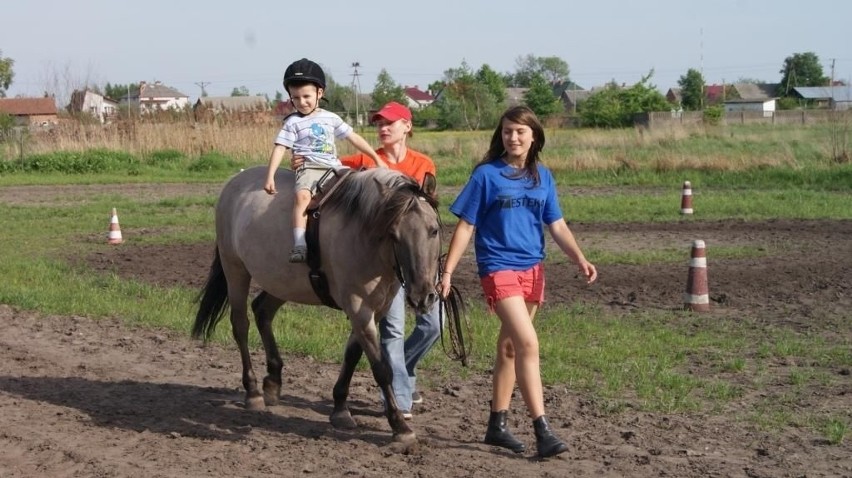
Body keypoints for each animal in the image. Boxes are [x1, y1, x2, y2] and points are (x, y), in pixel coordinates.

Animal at [192, 166, 442, 446]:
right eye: (394, 235)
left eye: (434, 230)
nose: (423, 297)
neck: (364, 235)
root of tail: (235, 181)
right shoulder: (359, 308)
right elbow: (381, 369)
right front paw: (399, 425)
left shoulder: (375, 310)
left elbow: (352, 355)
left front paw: (340, 409)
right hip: (235, 269)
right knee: (240, 325)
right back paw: (253, 391)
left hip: (283, 281)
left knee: (262, 311)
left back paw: (273, 381)